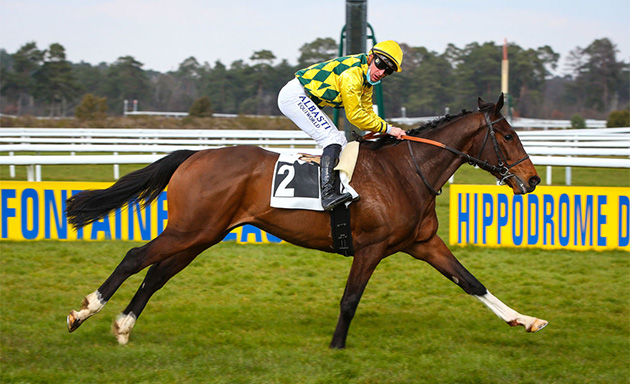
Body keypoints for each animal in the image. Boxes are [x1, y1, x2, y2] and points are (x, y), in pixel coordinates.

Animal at [65, 93, 548, 348]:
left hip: (203, 234)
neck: (407, 171)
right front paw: (336, 348)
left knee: (157, 273)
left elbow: (472, 282)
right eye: (508, 135)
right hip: (191, 229)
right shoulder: (371, 248)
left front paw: (526, 320)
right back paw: (85, 310)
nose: (533, 179)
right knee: (135, 256)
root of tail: (194, 156)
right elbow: (350, 299)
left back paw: (124, 326)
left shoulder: (424, 243)